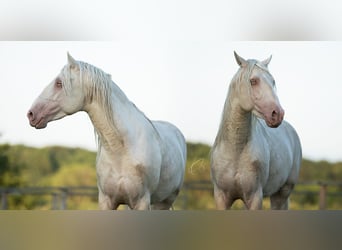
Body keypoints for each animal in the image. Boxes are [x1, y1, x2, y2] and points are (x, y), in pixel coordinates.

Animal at [27, 53, 186, 210]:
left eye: (59, 83)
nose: (31, 114)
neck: (121, 150)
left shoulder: (142, 202)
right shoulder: (106, 201)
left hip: (163, 203)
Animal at [211, 52, 302, 209]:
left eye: (273, 81)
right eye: (253, 81)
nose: (277, 114)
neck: (236, 150)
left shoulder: (254, 197)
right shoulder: (221, 198)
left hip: (282, 194)